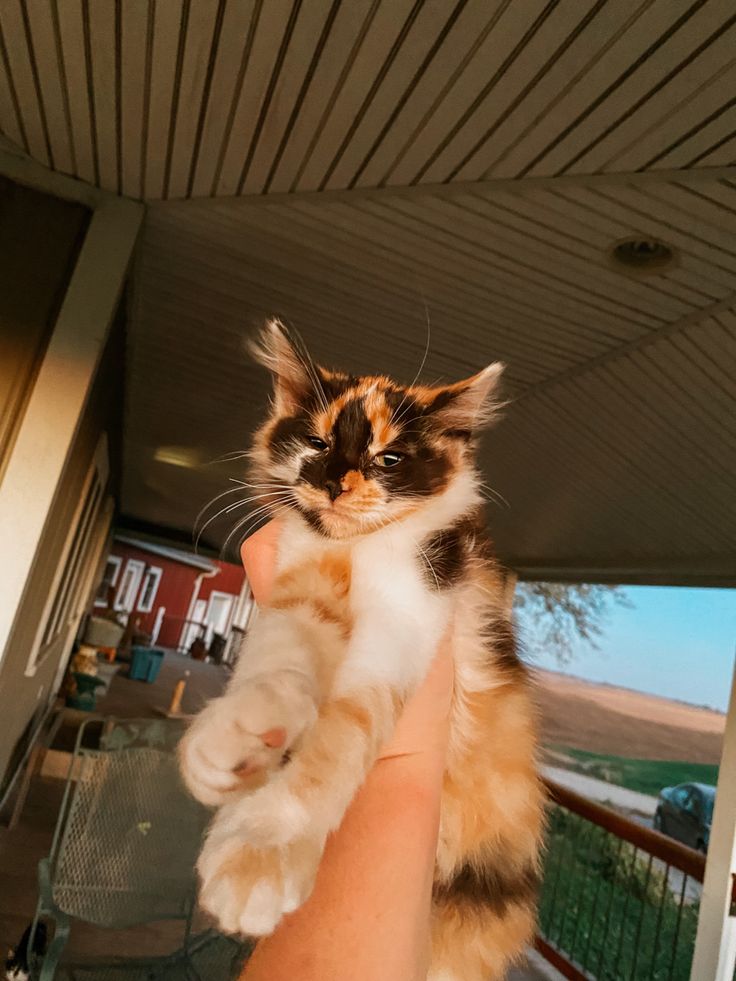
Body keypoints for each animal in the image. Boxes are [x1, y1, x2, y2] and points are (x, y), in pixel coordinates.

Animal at [181, 320, 544, 972]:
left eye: (388, 458)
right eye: (318, 442)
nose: (332, 483)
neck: (356, 547)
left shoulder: (408, 613)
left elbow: (339, 733)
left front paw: (260, 850)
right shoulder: (302, 578)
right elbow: (281, 658)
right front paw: (239, 739)